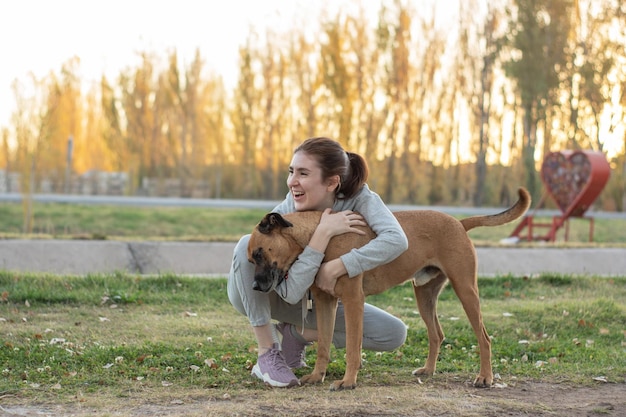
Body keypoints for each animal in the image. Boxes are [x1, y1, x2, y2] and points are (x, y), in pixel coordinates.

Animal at [246, 188, 528, 390]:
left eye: (259, 253)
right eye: (251, 259)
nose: (255, 286)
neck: (320, 235)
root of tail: (459, 223)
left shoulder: (353, 301)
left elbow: (352, 347)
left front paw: (348, 381)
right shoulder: (326, 302)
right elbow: (324, 344)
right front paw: (317, 375)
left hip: (466, 290)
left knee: (484, 338)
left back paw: (485, 377)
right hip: (424, 295)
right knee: (437, 334)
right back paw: (428, 370)